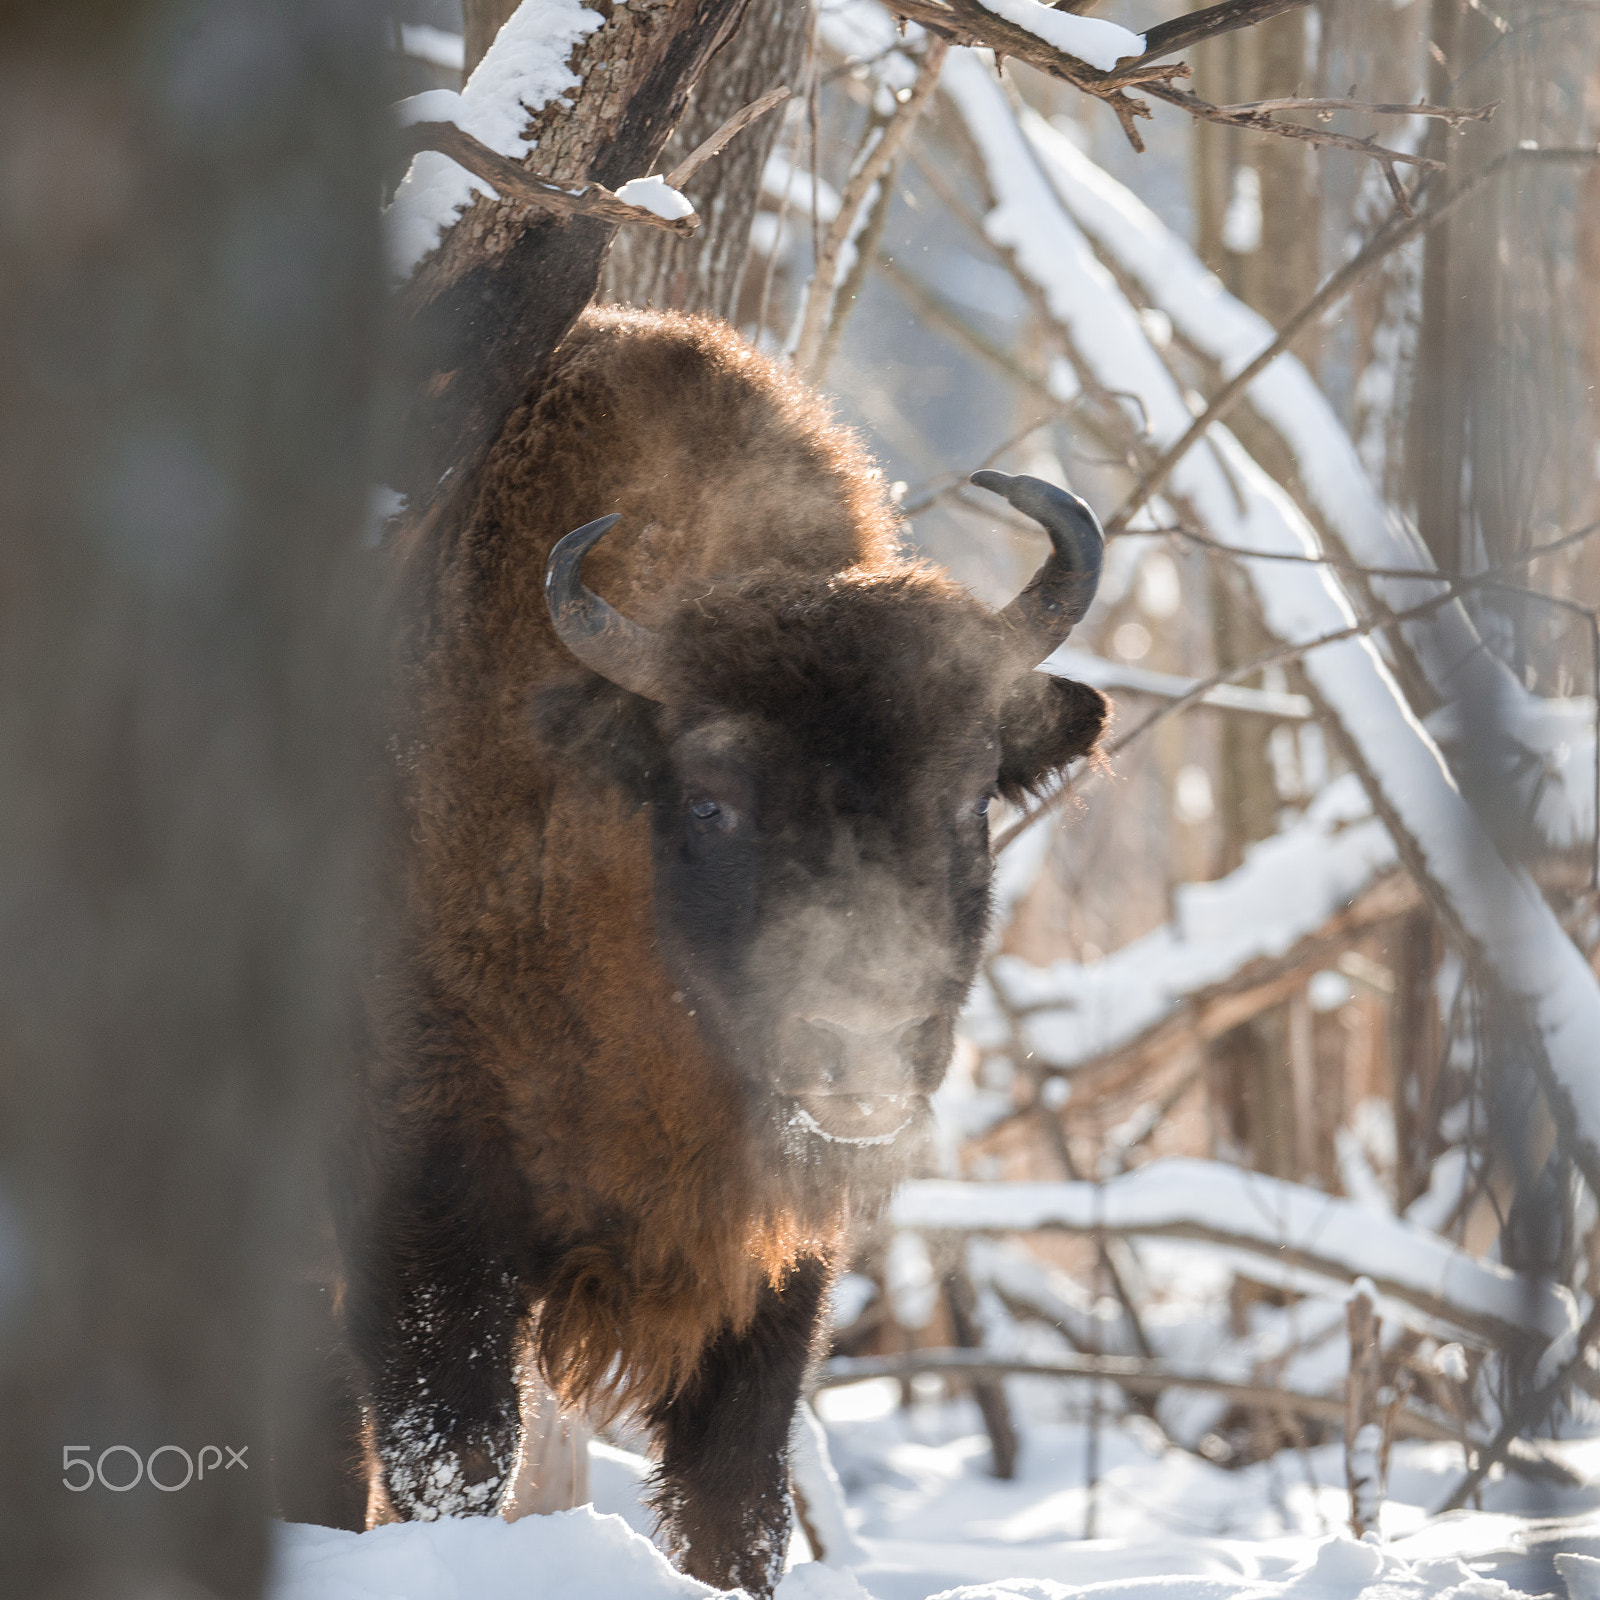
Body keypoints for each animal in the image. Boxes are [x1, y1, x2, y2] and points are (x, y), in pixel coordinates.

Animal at [344, 305, 1107, 1593]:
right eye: (712, 800)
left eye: (968, 800)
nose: (859, 1049)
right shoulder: (429, 1224)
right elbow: (452, 1458)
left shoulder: (776, 1269)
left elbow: (737, 1496)